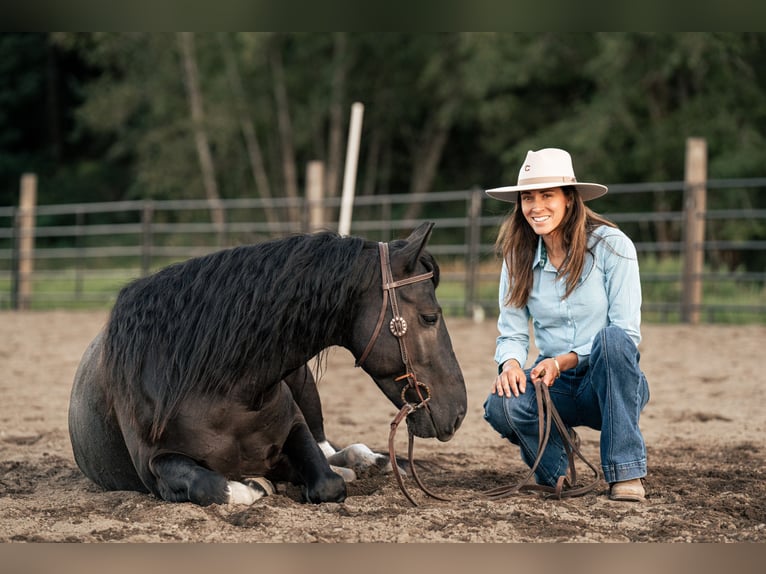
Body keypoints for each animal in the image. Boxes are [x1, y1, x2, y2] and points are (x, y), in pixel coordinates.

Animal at [69, 223, 468, 506]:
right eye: (430, 317)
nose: (459, 411)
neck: (218, 389)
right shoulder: (155, 466)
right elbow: (216, 486)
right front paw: (258, 483)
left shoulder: (296, 429)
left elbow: (327, 481)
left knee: (332, 449)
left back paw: (367, 461)